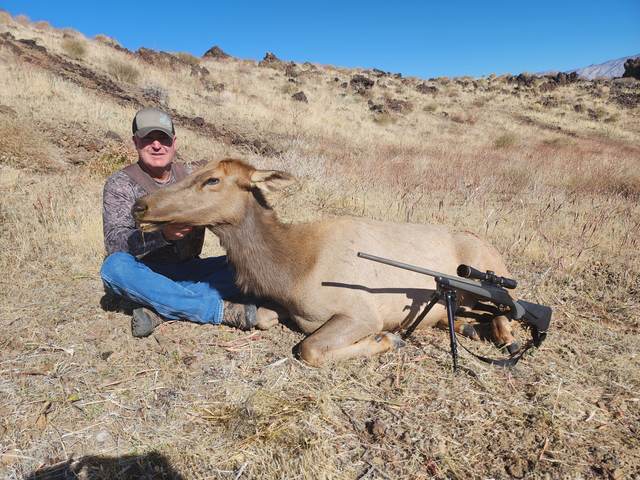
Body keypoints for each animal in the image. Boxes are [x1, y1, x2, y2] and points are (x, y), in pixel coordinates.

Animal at [133, 159, 520, 367]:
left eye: (212, 179)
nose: (141, 206)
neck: (293, 270)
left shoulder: (362, 312)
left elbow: (309, 348)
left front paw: (386, 341)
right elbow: (265, 319)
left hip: (489, 274)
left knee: (508, 306)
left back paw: (505, 337)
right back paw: (469, 328)